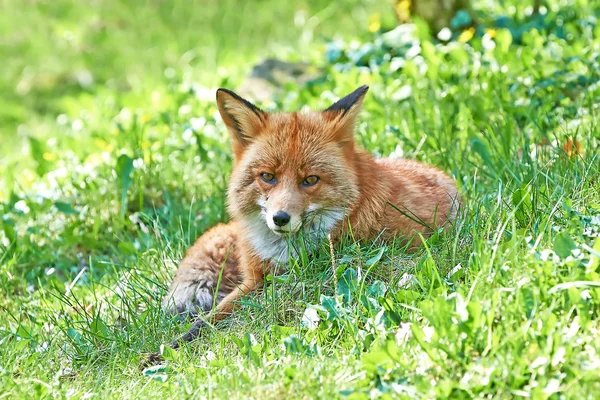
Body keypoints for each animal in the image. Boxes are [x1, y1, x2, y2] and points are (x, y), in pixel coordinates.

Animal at [148, 86, 458, 362]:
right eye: (267, 176)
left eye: (310, 180)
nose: (280, 218)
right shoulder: (253, 282)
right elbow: (205, 322)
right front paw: (165, 352)